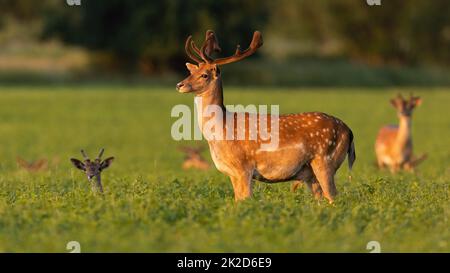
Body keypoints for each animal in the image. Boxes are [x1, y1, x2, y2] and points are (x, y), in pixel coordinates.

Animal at [176, 30, 356, 202]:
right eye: (191, 72)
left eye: (204, 75)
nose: (180, 85)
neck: (221, 130)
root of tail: (349, 131)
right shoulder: (232, 173)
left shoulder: (244, 167)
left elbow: (245, 200)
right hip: (310, 174)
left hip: (326, 160)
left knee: (334, 197)